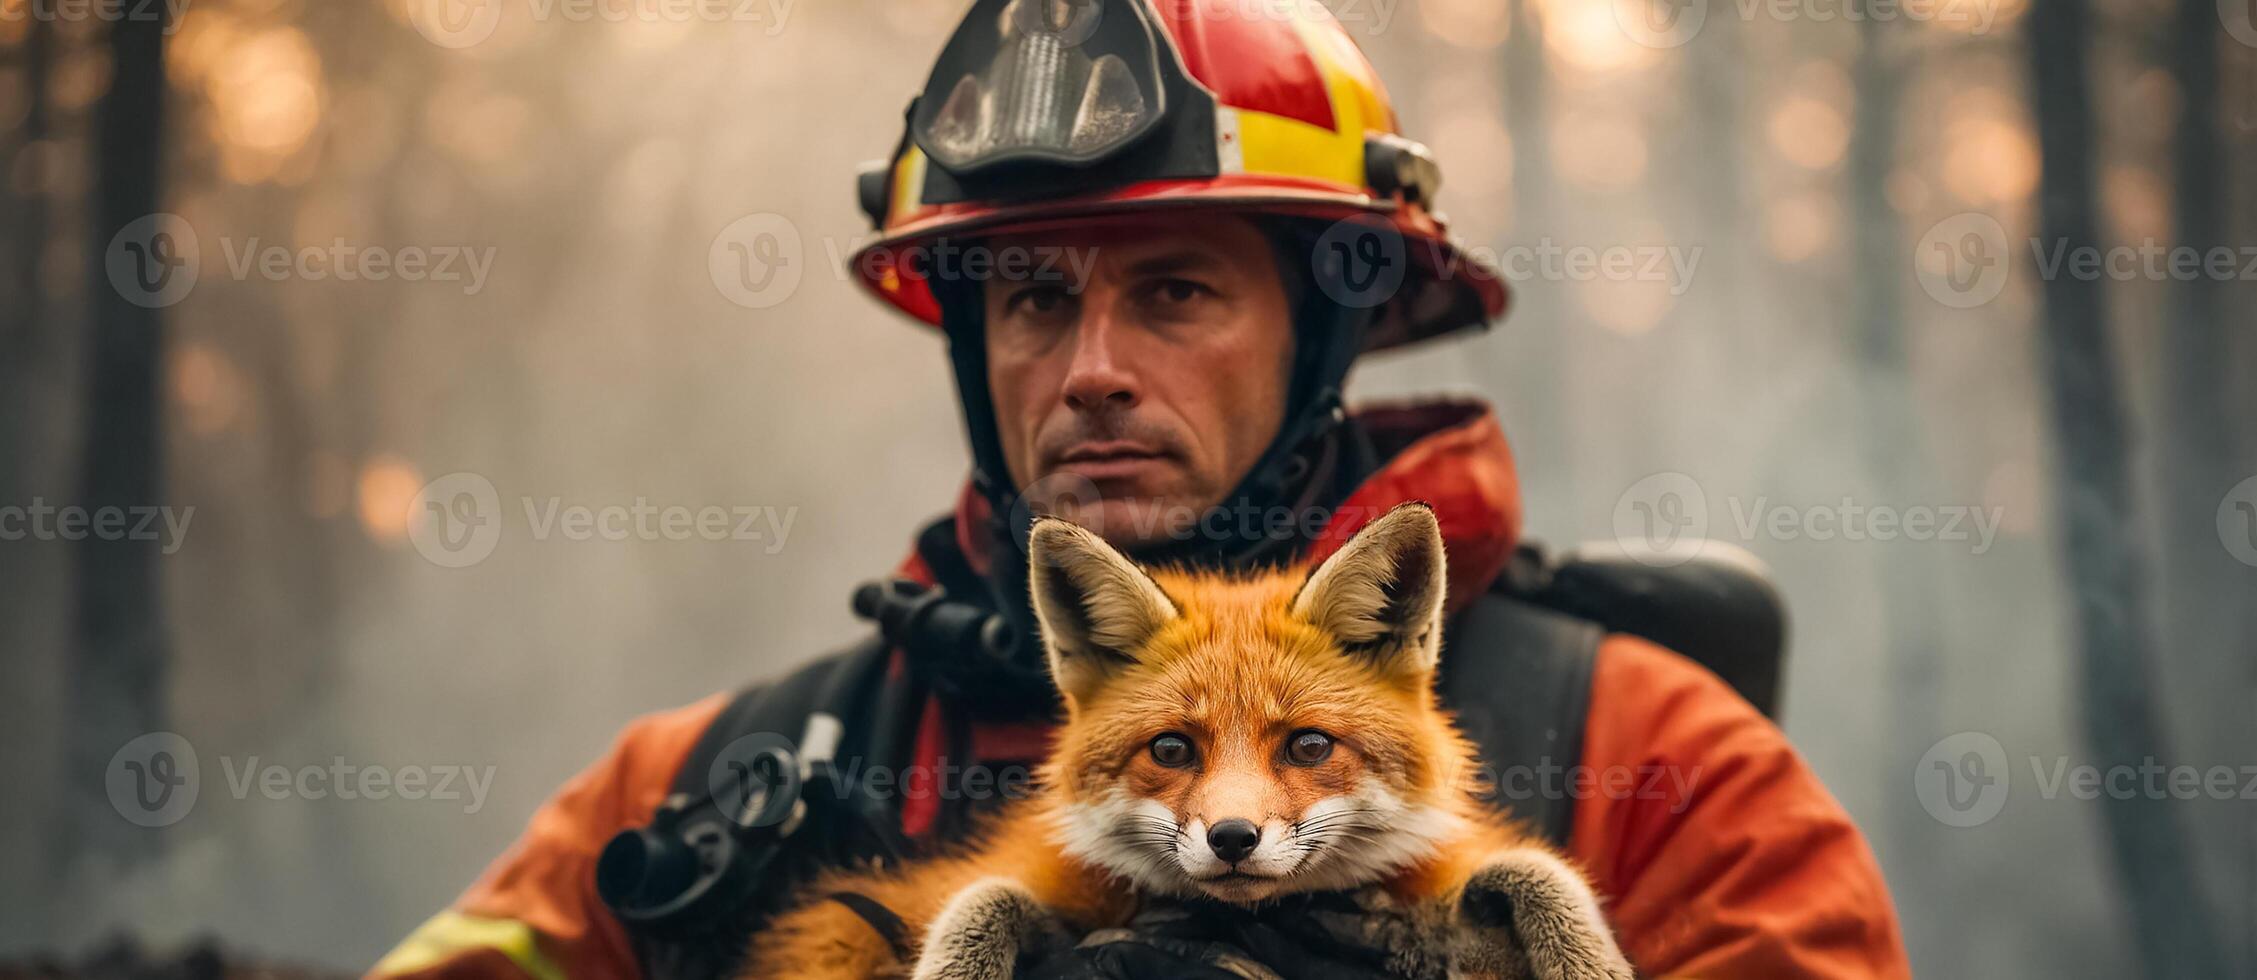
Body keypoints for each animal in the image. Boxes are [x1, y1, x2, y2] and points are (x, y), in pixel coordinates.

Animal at [749, 505, 1634, 980]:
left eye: (1307, 747)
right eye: (1171, 750)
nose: (1232, 837)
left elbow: (1539, 876)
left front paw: (1592, 961)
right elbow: (979, 901)